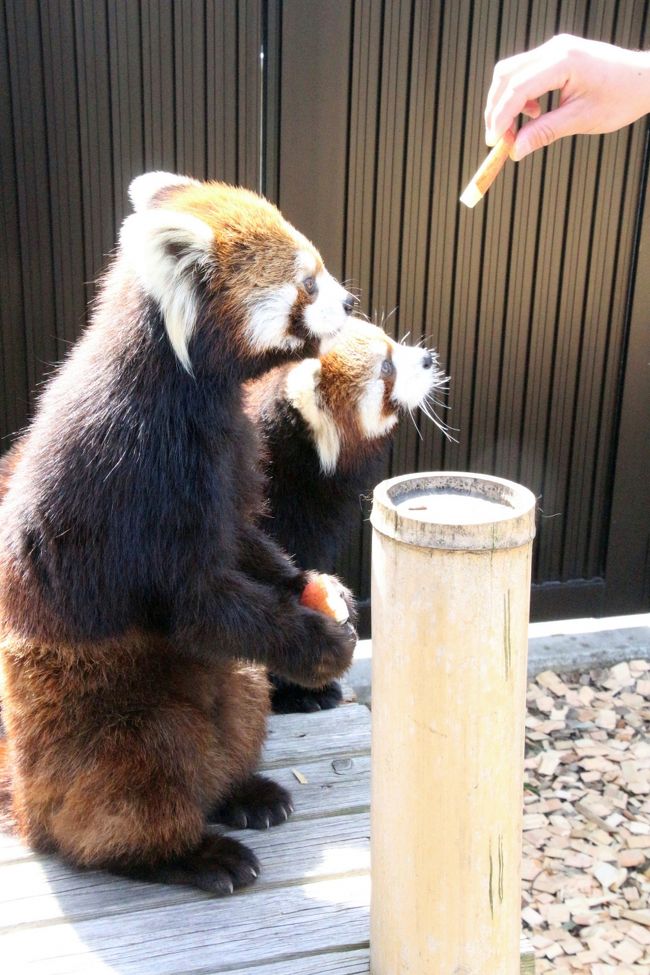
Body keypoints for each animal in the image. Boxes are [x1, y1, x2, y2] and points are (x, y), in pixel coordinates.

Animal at [0, 173, 356, 892]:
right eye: (308, 282)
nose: (351, 300)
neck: (188, 387)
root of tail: (26, 805)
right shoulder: (137, 478)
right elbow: (198, 606)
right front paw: (321, 644)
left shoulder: (234, 455)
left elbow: (245, 539)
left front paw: (314, 585)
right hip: (105, 716)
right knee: (141, 776)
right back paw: (189, 852)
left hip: (233, 687)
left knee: (235, 711)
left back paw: (241, 792)